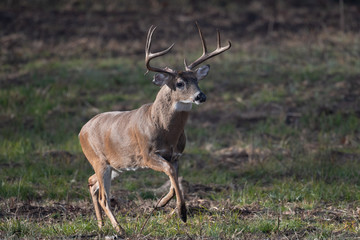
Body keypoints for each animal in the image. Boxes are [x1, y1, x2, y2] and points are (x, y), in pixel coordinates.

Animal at [78, 23, 231, 235]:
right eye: (180, 83)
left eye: (197, 80)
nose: (201, 96)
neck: (165, 131)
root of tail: (81, 131)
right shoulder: (147, 154)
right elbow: (170, 172)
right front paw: (181, 212)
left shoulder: (176, 155)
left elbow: (176, 179)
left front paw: (162, 204)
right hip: (99, 160)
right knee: (103, 196)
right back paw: (120, 229)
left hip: (114, 165)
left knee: (92, 183)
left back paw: (101, 224)